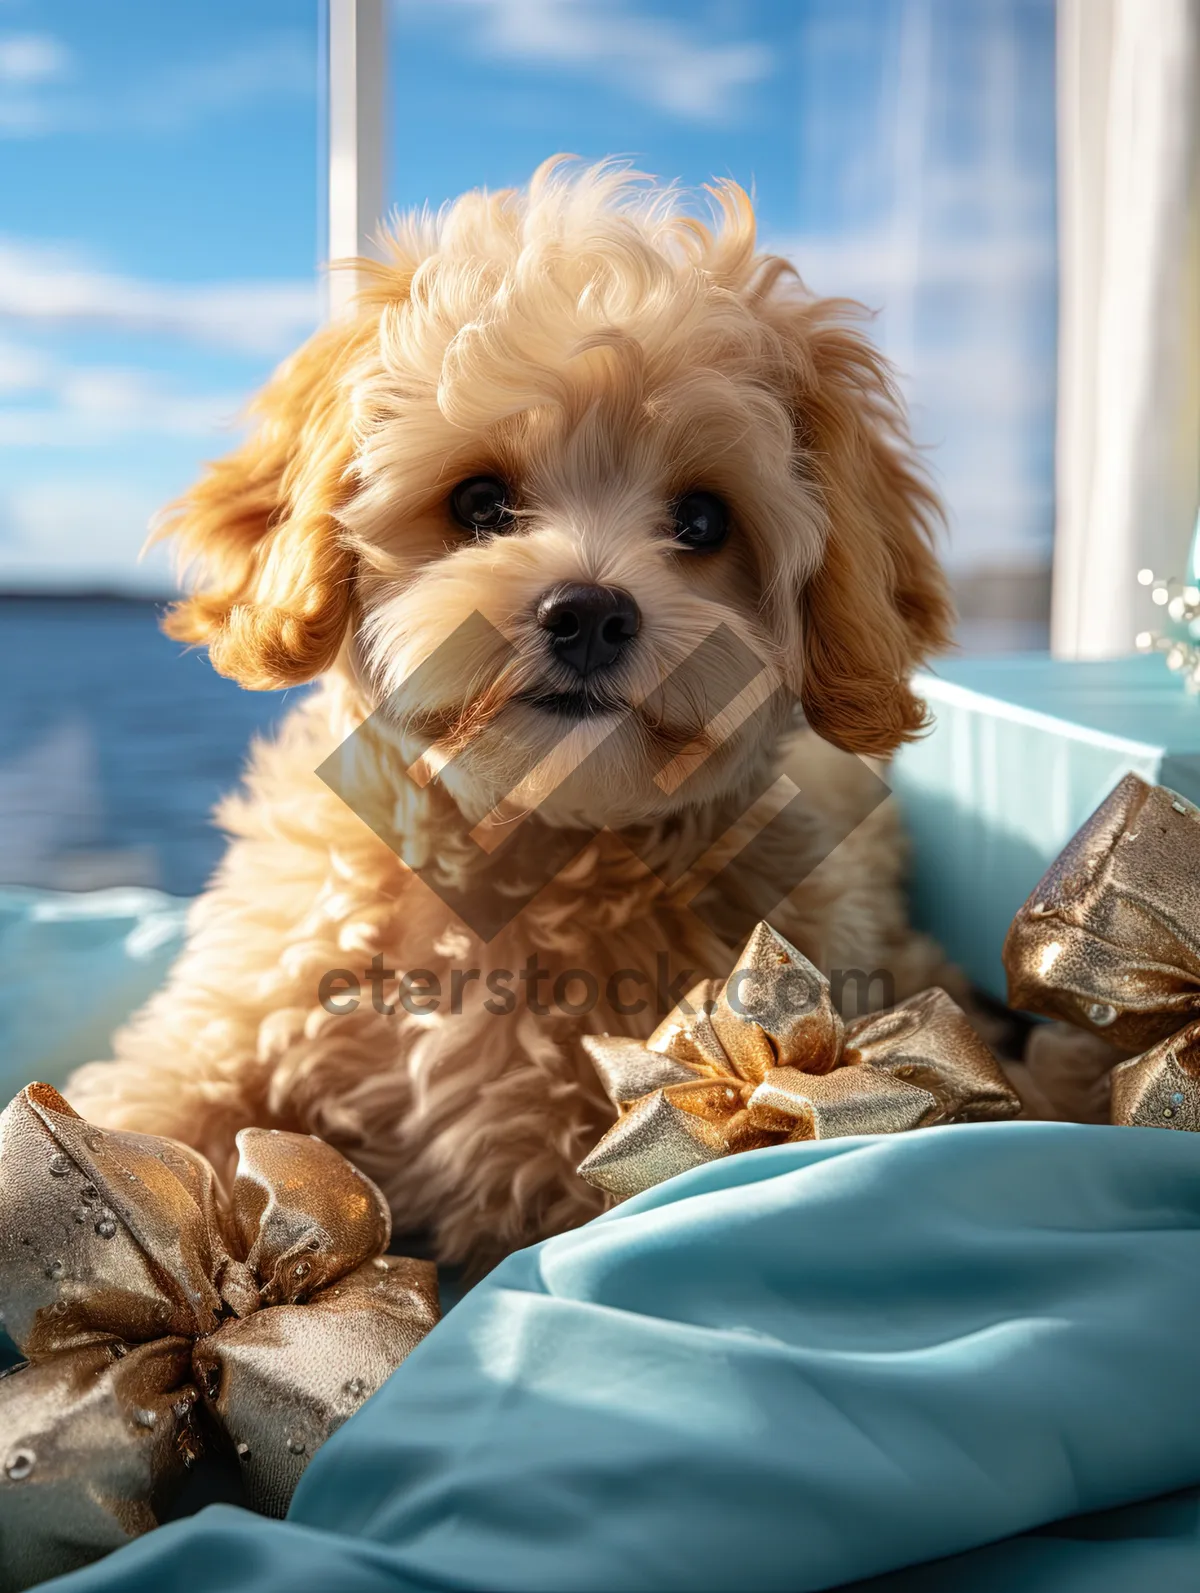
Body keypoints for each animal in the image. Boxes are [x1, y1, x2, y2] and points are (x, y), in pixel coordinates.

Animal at [70, 158, 962, 1255]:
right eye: (480, 503)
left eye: (702, 520)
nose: (588, 612)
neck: (521, 842)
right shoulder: (226, 1017)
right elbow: (137, 1117)